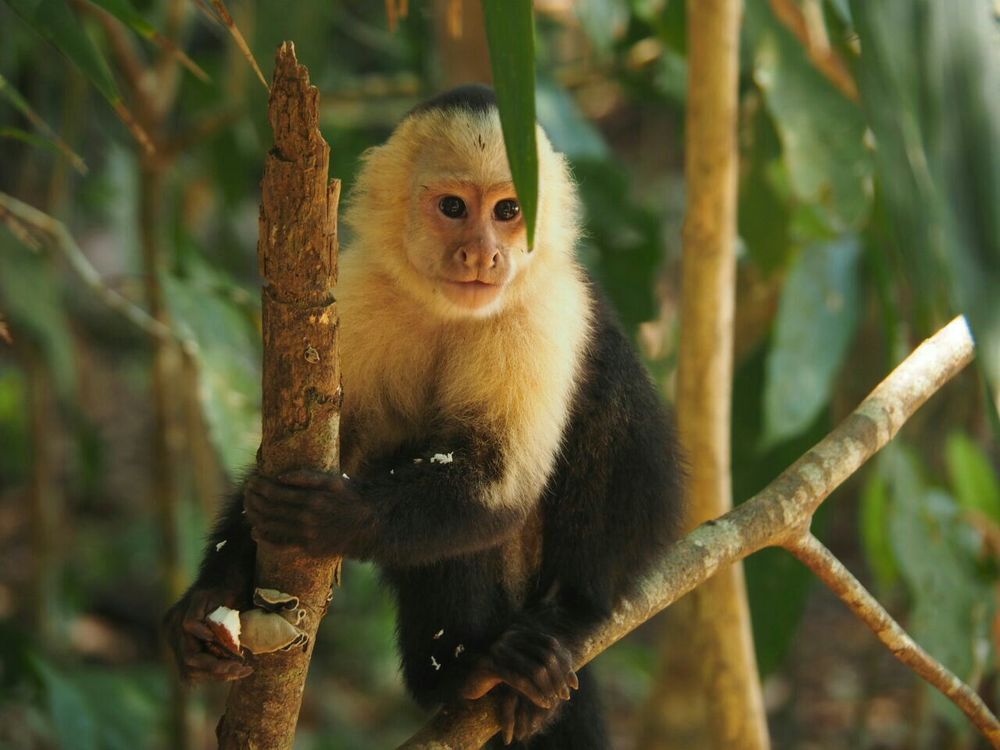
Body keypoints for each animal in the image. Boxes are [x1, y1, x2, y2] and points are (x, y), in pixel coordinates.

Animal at [164, 85, 684, 748]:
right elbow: (321, 443)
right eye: (454, 207)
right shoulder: (358, 295)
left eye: (509, 210)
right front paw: (210, 598)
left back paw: (523, 648)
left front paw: (337, 515)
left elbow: (498, 485)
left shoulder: (542, 313)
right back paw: (461, 677)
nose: (483, 253)